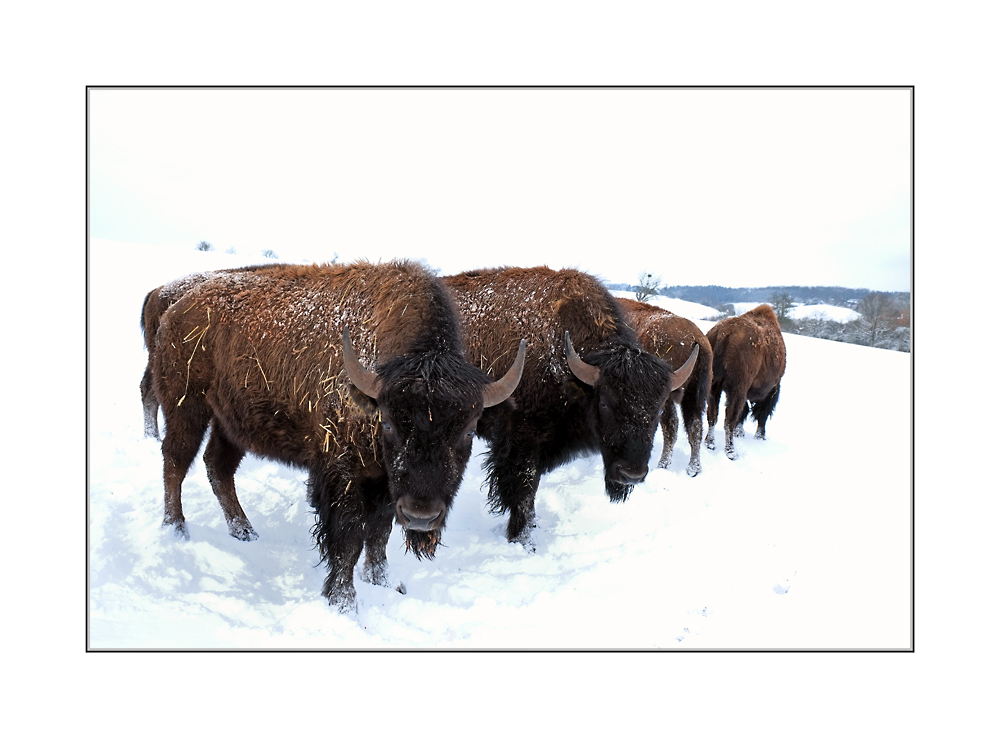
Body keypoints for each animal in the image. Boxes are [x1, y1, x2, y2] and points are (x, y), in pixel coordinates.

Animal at [152, 258, 528, 608]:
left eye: (468, 431)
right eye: (388, 423)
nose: (422, 517)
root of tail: (178, 305)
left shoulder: (386, 483)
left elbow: (378, 533)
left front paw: (382, 581)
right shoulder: (342, 471)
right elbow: (349, 537)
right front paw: (343, 600)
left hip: (229, 422)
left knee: (218, 466)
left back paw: (244, 531)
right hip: (186, 407)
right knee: (175, 462)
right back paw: (176, 528)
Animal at [446, 268, 696, 544]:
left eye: (659, 409)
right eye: (605, 403)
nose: (632, 475)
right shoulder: (521, 444)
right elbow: (523, 494)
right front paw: (522, 540)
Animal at [616, 298, 712, 478]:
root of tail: (697, 339)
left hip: (667, 396)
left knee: (671, 425)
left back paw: (663, 464)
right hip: (693, 395)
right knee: (694, 426)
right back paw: (693, 468)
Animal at [704, 302, 788, 458]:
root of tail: (723, 333)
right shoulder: (772, 390)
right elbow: (761, 414)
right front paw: (760, 436)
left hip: (714, 387)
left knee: (713, 415)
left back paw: (710, 444)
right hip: (738, 389)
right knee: (729, 419)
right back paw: (731, 452)